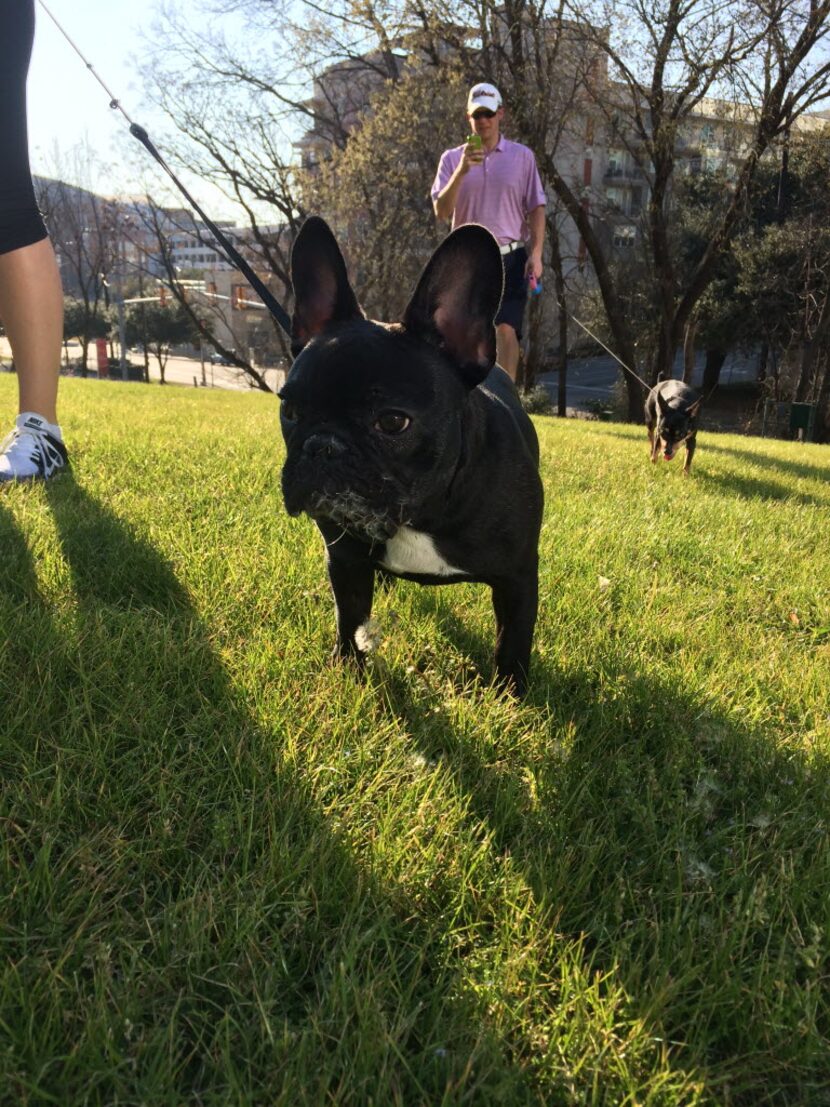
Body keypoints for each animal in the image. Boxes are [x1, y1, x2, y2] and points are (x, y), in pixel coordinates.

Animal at [279, 216, 546, 695]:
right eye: (289, 411)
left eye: (392, 422)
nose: (322, 447)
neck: (423, 513)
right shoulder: (345, 561)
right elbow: (349, 620)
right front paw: (348, 671)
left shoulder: (517, 578)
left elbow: (512, 641)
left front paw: (510, 697)